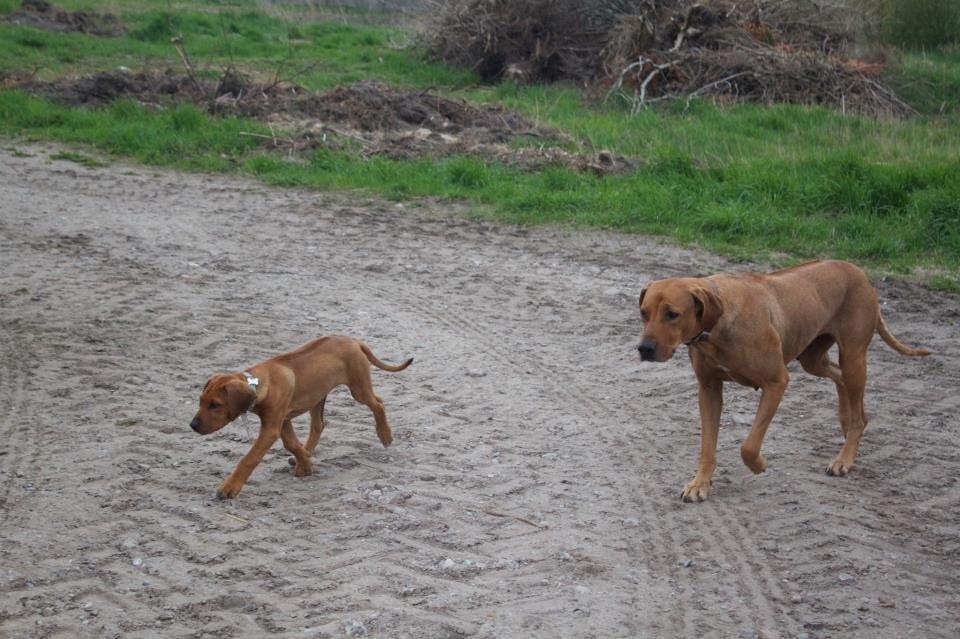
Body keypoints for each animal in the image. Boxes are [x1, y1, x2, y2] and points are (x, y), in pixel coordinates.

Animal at [189, 336, 410, 500]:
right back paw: (306, 452)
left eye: (215, 404)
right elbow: (290, 443)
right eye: (200, 401)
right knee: (319, 424)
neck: (258, 383)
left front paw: (228, 488)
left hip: (358, 388)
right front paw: (304, 461)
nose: (192, 425)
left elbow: (249, 459)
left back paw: (385, 434)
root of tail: (353, 340)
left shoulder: (272, 427)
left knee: (378, 403)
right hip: (318, 395)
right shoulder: (283, 421)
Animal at [636, 258, 928, 502]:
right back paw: (847, 422)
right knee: (840, 379)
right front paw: (700, 484)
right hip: (812, 357)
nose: (644, 349)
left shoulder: (776, 382)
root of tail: (857, 270)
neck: (715, 327)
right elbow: (707, 446)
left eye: (672, 314)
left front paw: (759, 464)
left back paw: (844, 458)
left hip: (854, 355)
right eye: (643, 312)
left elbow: (749, 446)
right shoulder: (708, 389)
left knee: (855, 403)